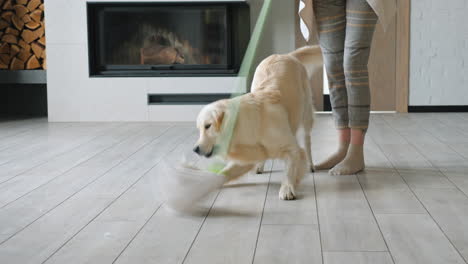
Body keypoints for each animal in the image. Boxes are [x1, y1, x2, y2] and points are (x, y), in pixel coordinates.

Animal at [194, 46, 322, 200]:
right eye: (200, 129)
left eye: (208, 126)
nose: (195, 149)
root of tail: (285, 55)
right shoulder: (247, 157)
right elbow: (224, 172)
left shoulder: (292, 149)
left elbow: (290, 169)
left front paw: (286, 189)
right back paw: (260, 166)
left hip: (306, 114)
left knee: (307, 141)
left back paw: (311, 165)